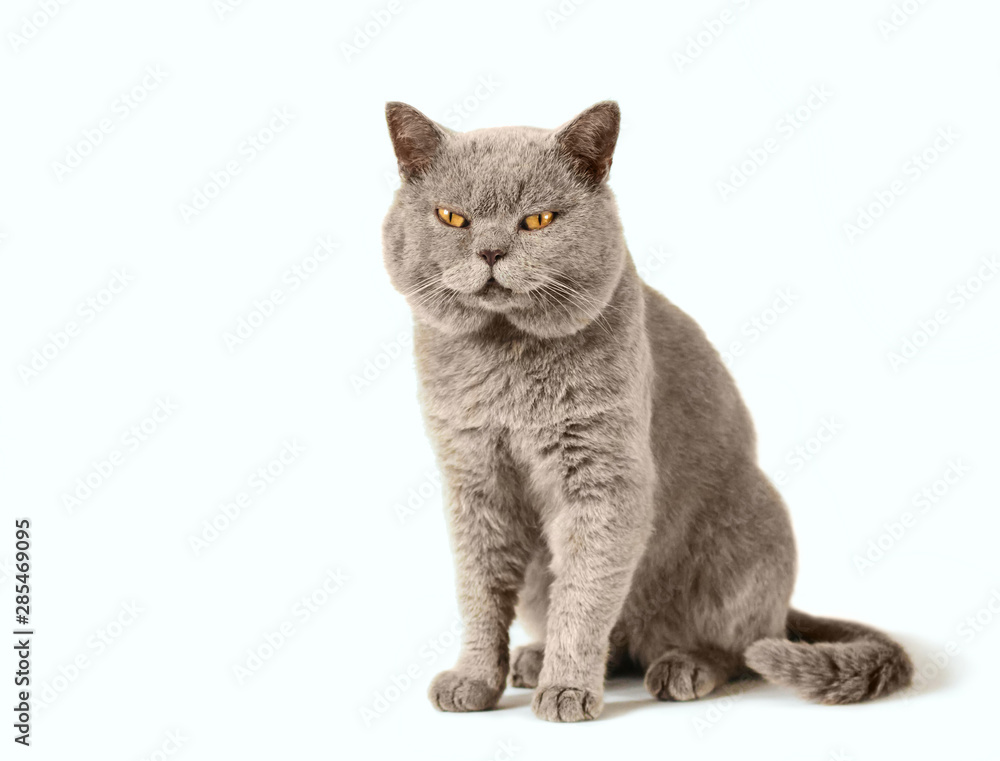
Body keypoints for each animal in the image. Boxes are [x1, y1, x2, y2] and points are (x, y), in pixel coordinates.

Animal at [378, 101, 912, 724]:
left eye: (537, 220)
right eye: (452, 218)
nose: (490, 252)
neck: (504, 359)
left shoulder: (605, 478)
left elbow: (584, 594)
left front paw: (567, 690)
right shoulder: (473, 480)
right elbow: (479, 591)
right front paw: (474, 681)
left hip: (751, 525)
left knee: (740, 646)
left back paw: (683, 667)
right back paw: (534, 659)